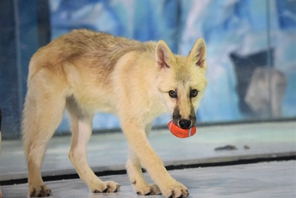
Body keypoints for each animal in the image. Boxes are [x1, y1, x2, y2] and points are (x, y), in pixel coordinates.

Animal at [22, 28, 207, 197]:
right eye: (172, 93)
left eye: (193, 93)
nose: (185, 123)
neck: (147, 81)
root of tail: (42, 49)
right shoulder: (131, 125)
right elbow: (153, 159)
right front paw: (171, 187)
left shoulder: (143, 125)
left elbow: (135, 160)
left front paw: (141, 186)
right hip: (51, 118)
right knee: (33, 152)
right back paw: (37, 186)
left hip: (84, 122)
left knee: (74, 153)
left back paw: (98, 185)